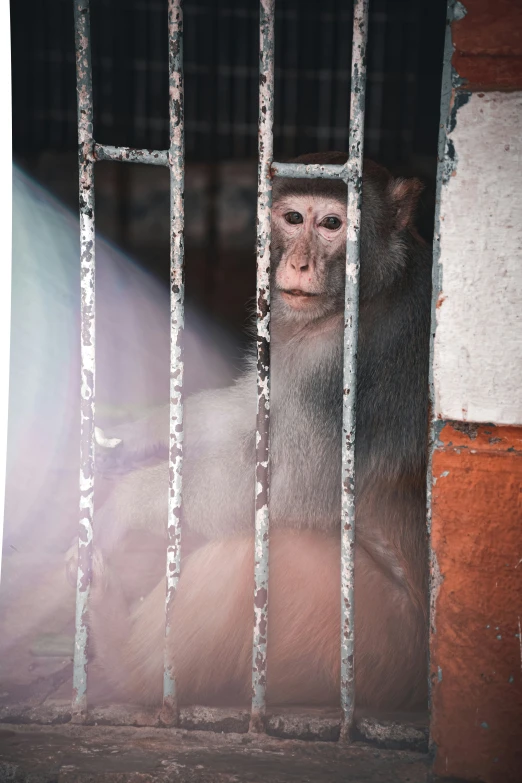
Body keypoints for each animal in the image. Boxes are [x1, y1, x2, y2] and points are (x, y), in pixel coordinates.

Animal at [82, 153, 430, 712]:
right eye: (292, 218)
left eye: (331, 223)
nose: (300, 265)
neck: (368, 292)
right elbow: (249, 413)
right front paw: (135, 435)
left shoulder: (338, 371)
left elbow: (288, 486)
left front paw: (123, 503)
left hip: (363, 642)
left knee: (259, 552)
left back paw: (125, 666)